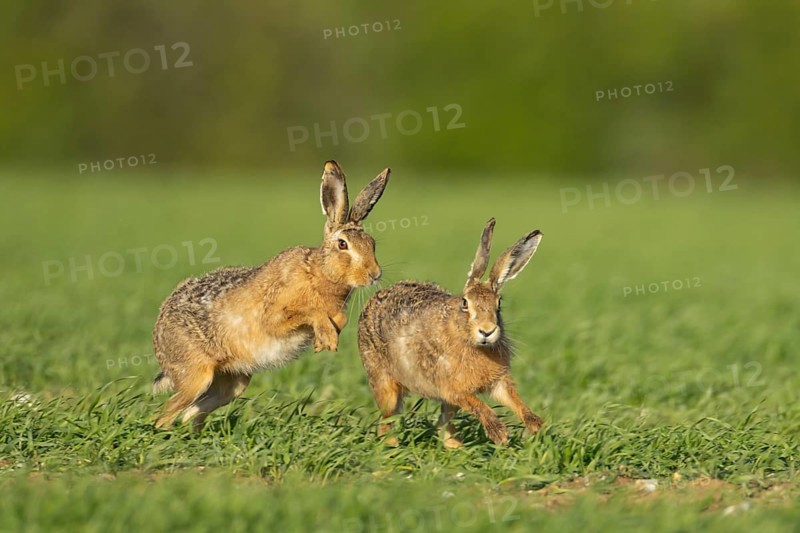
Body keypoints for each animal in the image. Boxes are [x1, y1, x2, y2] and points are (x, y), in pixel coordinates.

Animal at [152, 160, 390, 429]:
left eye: (372, 243)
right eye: (343, 244)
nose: (374, 274)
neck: (318, 272)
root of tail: (158, 336)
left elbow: (339, 319)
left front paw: (326, 338)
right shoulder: (275, 316)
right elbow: (308, 314)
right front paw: (326, 338)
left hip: (233, 382)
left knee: (193, 410)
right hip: (196, 376)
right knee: (166, 413)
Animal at [357, 218, 543, 447]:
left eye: (499, 304)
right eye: (465, 303)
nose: (487, 331)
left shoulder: (497, 381)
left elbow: (512, 398)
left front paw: (535, 424)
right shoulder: (452, 388)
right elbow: (476, 403)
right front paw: (499, 433)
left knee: (442, 425)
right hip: (384, 383)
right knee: (387, 422)